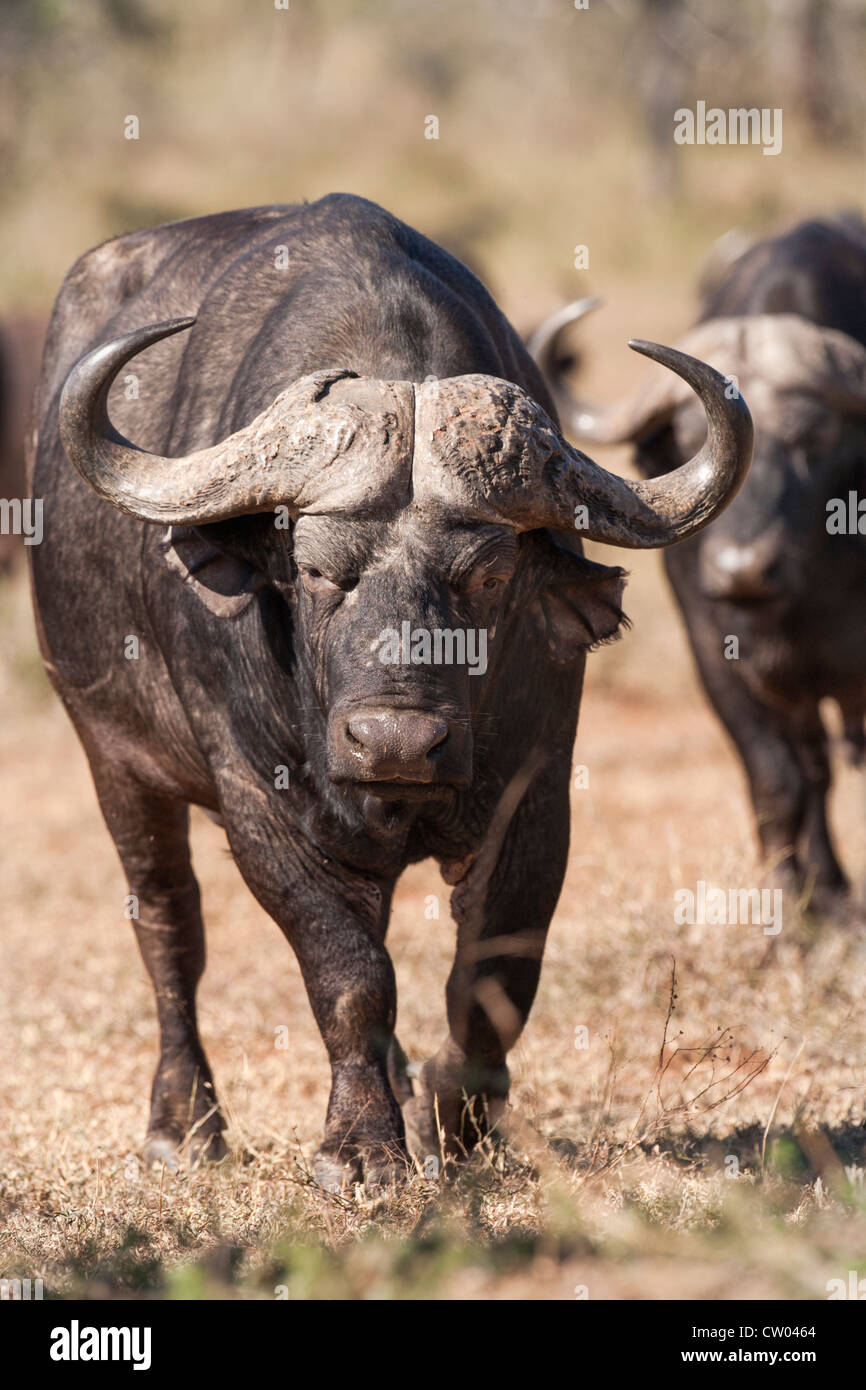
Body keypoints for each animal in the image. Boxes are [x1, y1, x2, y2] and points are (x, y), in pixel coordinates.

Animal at [32, 195, 750, 1184]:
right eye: (313, 568)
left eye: (488, 574)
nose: (397, 744)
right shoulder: (262, 806)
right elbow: (348, 973)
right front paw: (363, 1147)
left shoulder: (537, 795)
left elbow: (494, 969)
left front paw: (459, 1119)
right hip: (112, 759)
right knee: (170, 928)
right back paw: (184, 1122)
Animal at [530, 214, 861, 911]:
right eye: (681, 442)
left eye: (816, 439)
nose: (742, 571)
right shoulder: (716, 655)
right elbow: (779, 780)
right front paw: (797, 908)